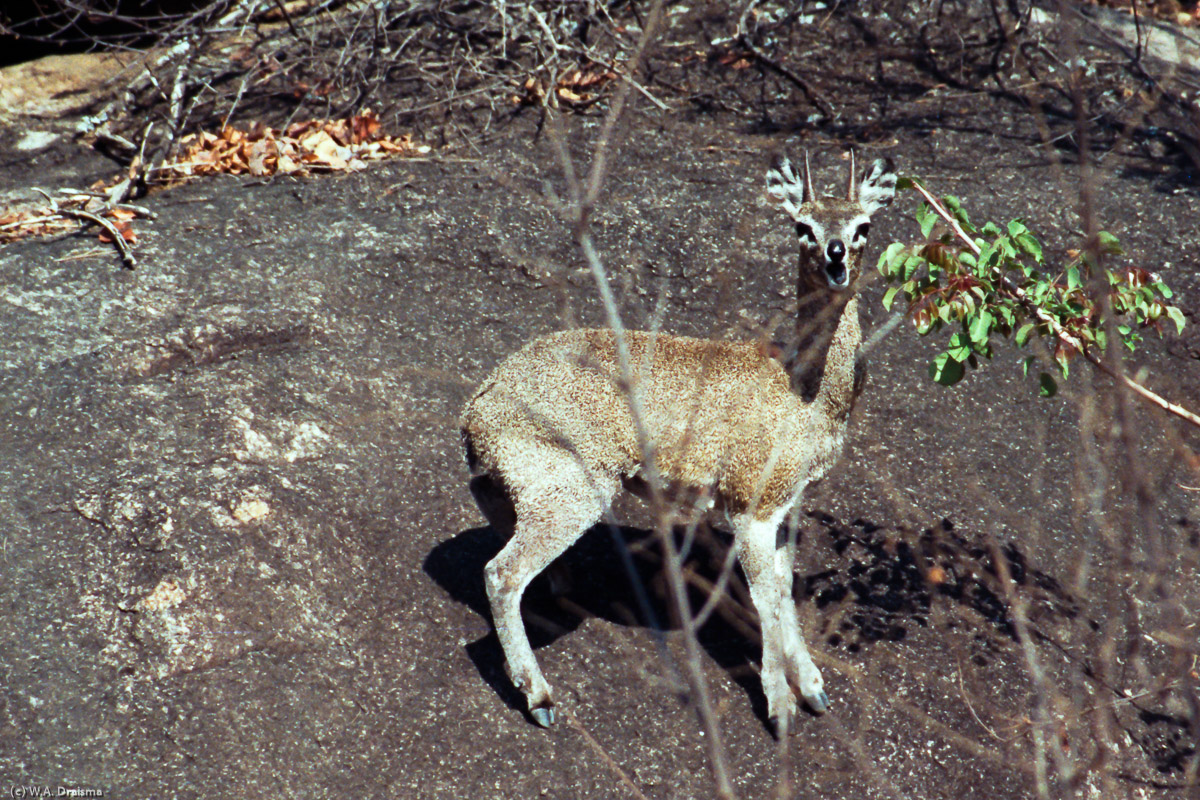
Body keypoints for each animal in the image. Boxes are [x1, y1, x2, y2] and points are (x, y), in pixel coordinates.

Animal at [463, 151, 897, 734]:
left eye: (863, 226)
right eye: (802, 227)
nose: (835, 258)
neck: (802, 392)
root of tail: (477, 407)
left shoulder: (786, 506)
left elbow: (783, 590)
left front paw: (812, 687)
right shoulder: (749, 503)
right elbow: (764, 597)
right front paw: (780, 707)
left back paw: (561, 588)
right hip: (574, 489)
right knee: (501, 573)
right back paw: (540, 698)